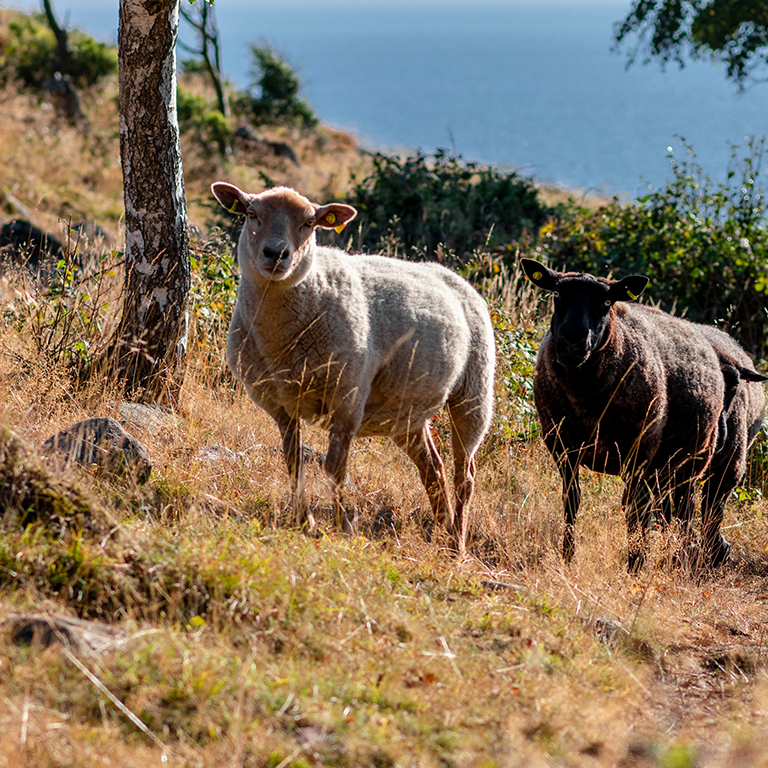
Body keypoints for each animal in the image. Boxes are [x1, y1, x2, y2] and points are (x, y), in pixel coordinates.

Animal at [212, 182, 498, 548]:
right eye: (251, 214)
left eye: (310, 223)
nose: (276, 254)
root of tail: (453, 276)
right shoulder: (279, 404)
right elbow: (293, 461)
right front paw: (303, 521)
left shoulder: (347, 396)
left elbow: (335, 468)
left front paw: (340, 526)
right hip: (406, 414)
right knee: (433, 469)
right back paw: (443, 529)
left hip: (474, 392)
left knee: (466, 473)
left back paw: (456, 542)